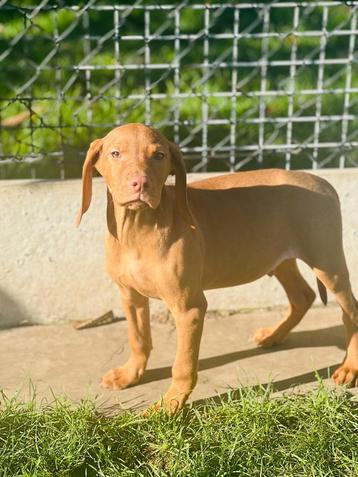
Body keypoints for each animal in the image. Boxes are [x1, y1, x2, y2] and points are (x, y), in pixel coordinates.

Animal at [77, 123, 358, 412]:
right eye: (115, 153)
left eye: (159, 155)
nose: (141, 183)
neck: (138, 227)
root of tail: (323, 182)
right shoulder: (130, 296)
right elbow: (138, 339)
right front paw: (130, 375)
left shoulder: (189, 308)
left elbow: (183, 364)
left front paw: (170, 405)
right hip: (279, 258)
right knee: (303, 296)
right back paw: (273, 335)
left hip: (328, 263)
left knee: (350, 312)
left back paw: (350, 367)